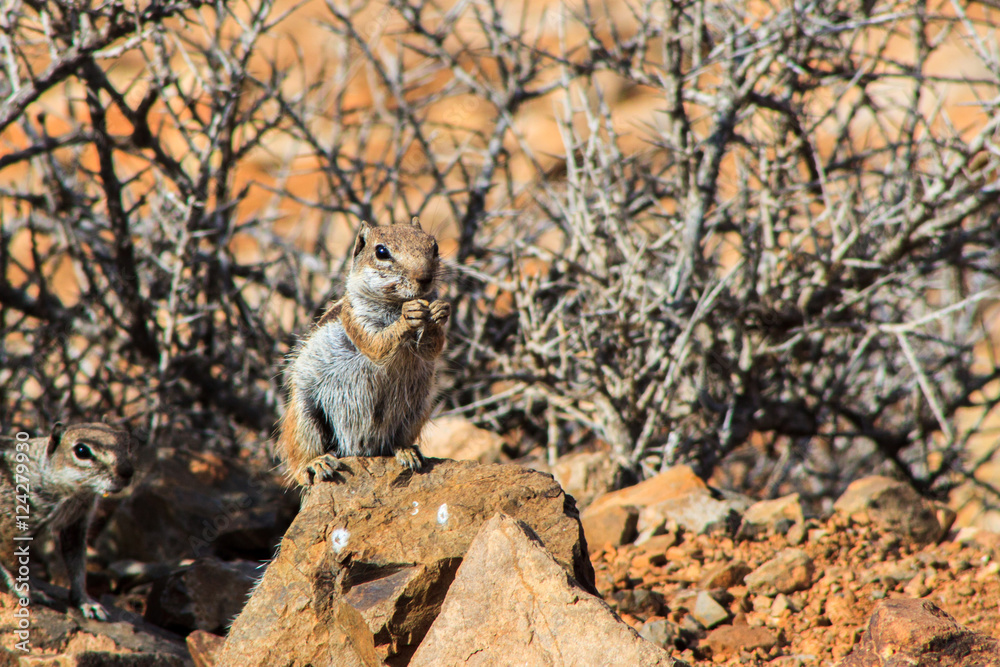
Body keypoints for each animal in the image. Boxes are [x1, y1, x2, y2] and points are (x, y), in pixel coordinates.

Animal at [0, 423, 135, 620]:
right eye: (81, 451)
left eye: (127, 442)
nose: (127, 471)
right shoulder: (11, 526)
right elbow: (13, 565)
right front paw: (32, 592)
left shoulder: (77, 525)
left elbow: (77, 566)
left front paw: (86, 601)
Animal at [277, 218, 451, 486]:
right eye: (381, 252)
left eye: (435, 246)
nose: (425, 277)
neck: (394, 304)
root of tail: (358, 448)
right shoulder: (356, 320)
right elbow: (377, 344)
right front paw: (408, 316)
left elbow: (431, 348)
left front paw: (438, 311)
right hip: (303, 414)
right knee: (299, 455)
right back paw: (315, 464)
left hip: (418, 410)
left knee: (395, 441)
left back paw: (406, 451)